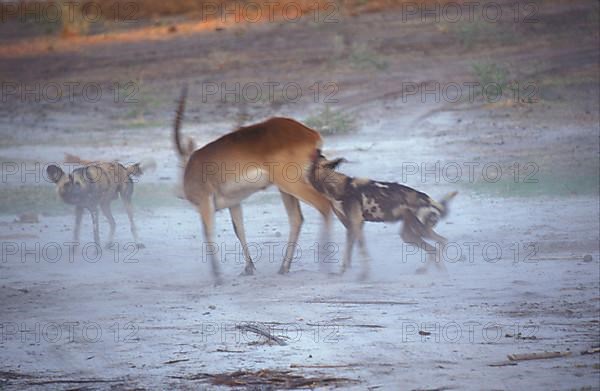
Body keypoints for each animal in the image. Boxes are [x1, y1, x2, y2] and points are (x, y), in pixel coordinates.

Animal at [172, 86, 332, 284]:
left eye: (180, 164)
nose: (178, 193)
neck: (192, 165)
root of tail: (311, 134)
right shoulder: (234, 202)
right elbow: (239, 230)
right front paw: (248, 268)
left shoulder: (205, 202)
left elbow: (208, 233)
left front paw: (218, 278)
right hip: (285, 188)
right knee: (297, 219)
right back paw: (283, 268)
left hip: (291, 184)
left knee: (324, 205)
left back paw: (326, 266)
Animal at [308, 150, 458, 278]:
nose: (317, 150)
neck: (338, 187)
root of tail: (429, 199)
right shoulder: (351, 227)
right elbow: (348, 253)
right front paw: (342, 272)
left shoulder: (356, 224)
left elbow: (362, 251)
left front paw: (364, 275)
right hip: (409, 235)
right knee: (436, 246)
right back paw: (431, 270)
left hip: (420, 230)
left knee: (439, 244)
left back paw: (438, 271)